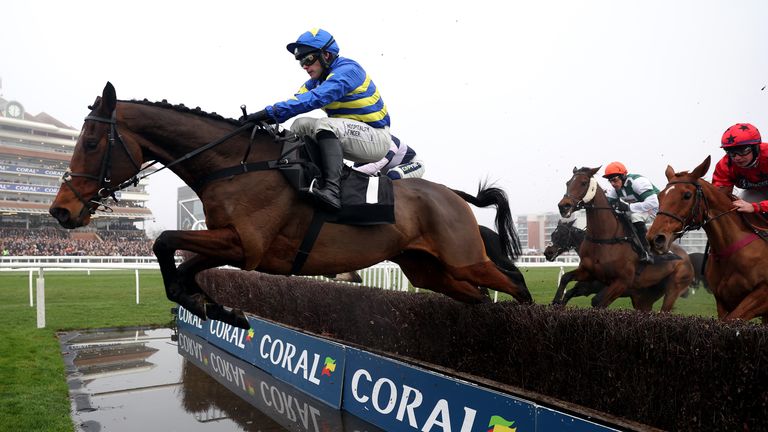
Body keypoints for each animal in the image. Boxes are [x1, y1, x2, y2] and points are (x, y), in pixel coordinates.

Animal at [46, 82, 528, 330]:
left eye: (91, 143)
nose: (61, 211)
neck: (235, 165)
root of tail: (454, 196)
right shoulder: (234, 243)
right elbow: (181, 264)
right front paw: (215, 307)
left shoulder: (245, 244)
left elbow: (164, 241)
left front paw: (212, 306)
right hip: (427, 270)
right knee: (479, 297)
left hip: (464, 258)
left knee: (515, 283)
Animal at [552, 167, 696, 312]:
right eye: (568, 183)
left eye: (584, 182)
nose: (563, 206)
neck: (604, 238)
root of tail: (687, 257)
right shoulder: (589, 273)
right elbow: (565, 279)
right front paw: (556, 302)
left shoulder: (621, 282)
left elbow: (597, 301)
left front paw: (622, 205)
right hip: (644, 297)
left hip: (674, 288)